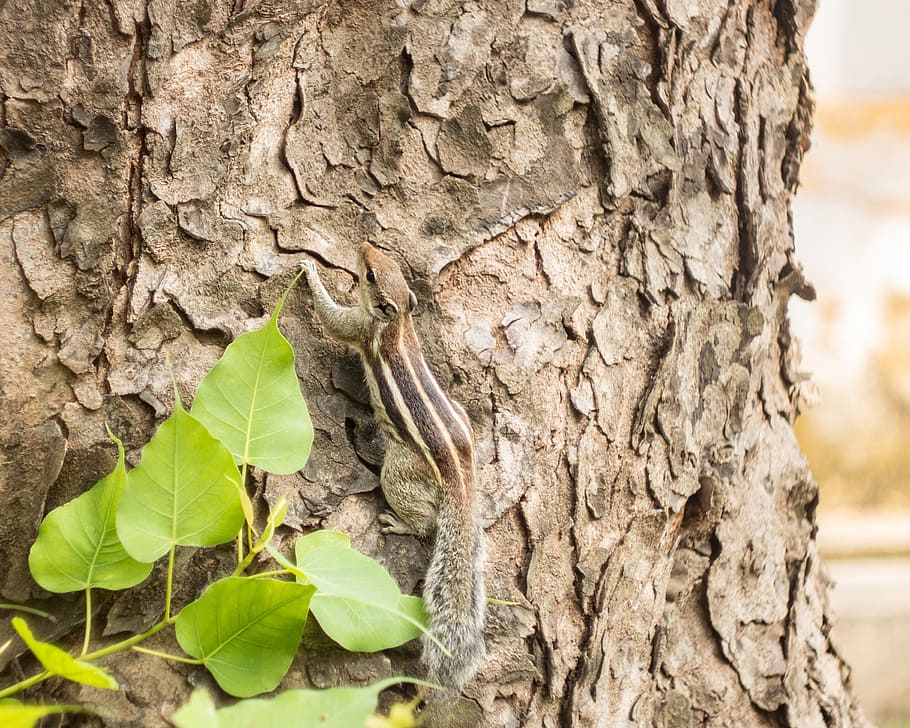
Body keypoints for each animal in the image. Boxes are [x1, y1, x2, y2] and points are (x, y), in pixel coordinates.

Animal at [302, 243, 486, 694]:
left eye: (370, 275)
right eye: (384, 264)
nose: (365, 244)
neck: (398, 320)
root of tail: (462, 477)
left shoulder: (357, 327)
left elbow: (331, 317)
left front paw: (310, 272)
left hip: (399, 473)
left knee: (425, 523)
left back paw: (400, 524)